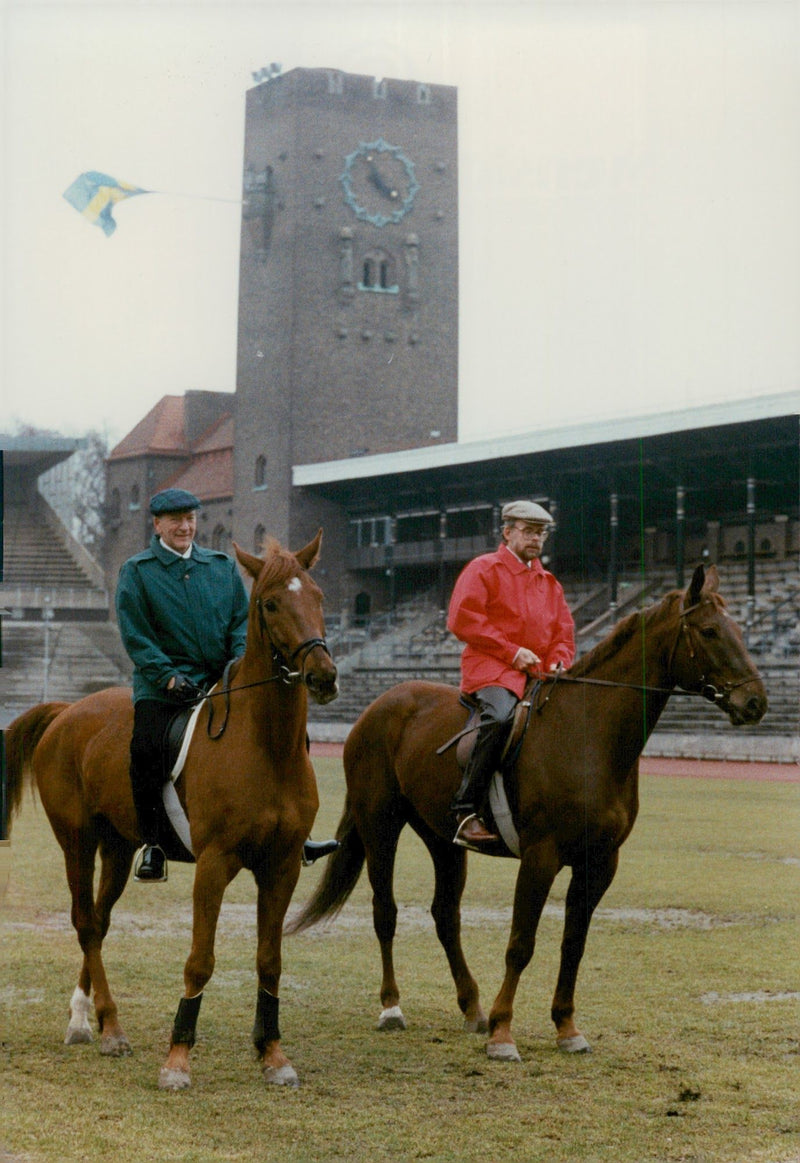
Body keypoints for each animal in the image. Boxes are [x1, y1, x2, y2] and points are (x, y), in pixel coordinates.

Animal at [6, 532, 337, 1088]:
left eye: (317, 596)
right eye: (271, 603)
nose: (324, 677)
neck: (266, 746)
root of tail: (67, 711)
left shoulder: (282, 866)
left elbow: (270, 959)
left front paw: (272, 1054)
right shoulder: (215, 864)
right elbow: (199, 961)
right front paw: (178, 1059)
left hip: (119, 849)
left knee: (98, 922)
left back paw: (87, 1017)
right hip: (77, 841)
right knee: (85, 922)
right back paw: (109, 1028)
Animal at [289, 567, 767, 1065]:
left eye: (739, 629)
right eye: (710, 631)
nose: (756, 702)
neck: (587, 734)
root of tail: (380, 706)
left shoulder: (600, 863)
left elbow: (573, 943)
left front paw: (566, 1027)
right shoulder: (541, 857)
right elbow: (521, 943)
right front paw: (503, 1033)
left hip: (442, 838)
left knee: (445, 915)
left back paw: (472, 1007)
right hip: (380, 825)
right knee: (385, 911)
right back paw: (392, 1007)